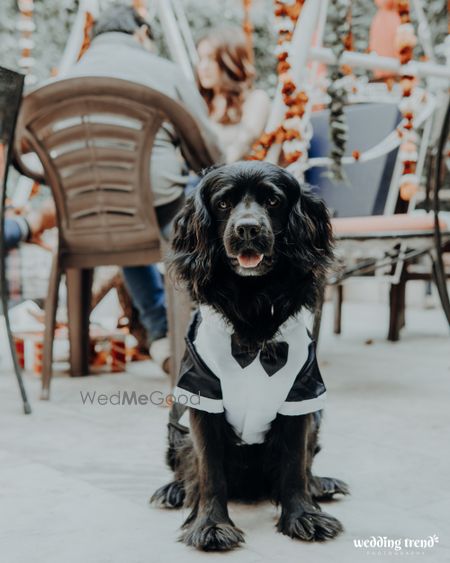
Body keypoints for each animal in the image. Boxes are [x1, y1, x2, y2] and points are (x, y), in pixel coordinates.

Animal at [151, 162, 348, 552]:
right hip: (175, 430)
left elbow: (295, 464)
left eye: (273, 200)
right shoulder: (202, 395)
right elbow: (209, 471)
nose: (247, 228)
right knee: (185, 467)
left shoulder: (301, 396)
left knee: (306, 466)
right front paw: (211, 526)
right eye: (223, 203)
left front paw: (304, 516)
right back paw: (174, 490)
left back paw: (321, 485)